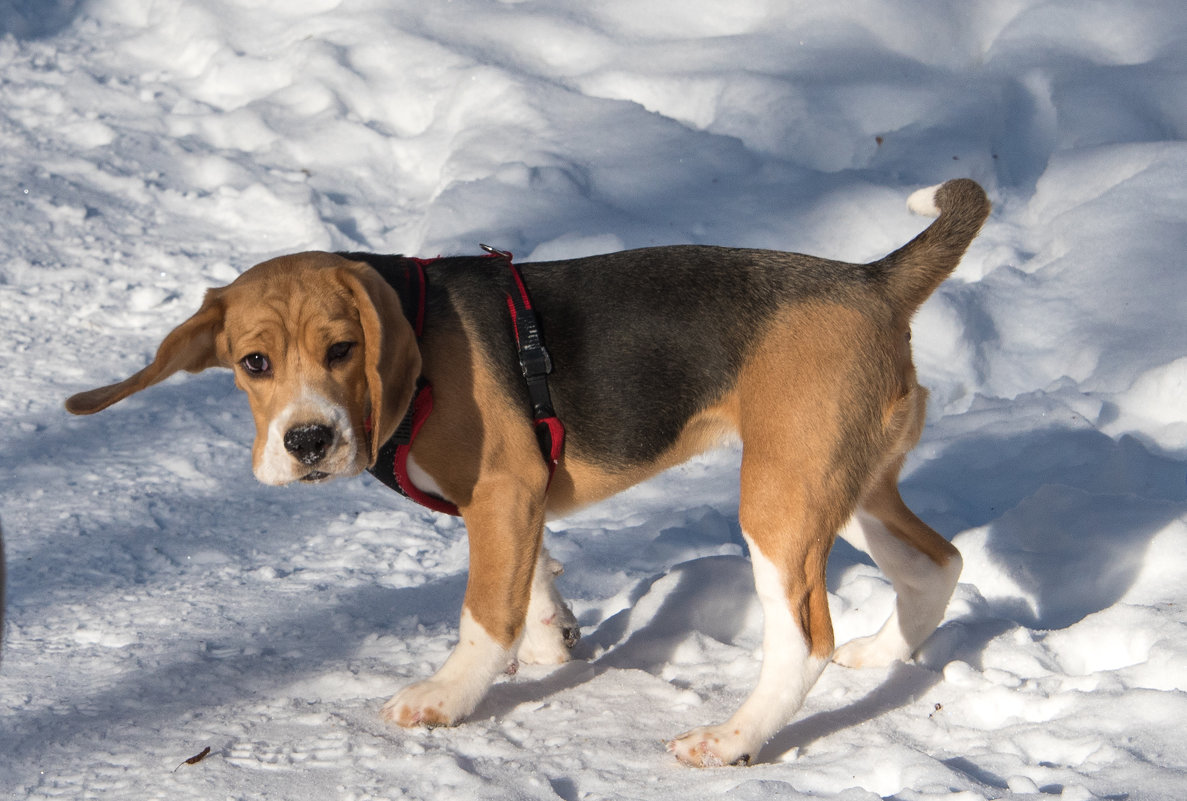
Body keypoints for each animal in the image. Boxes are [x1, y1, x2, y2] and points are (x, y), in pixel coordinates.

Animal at [64, 179, 992, 768]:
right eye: (253, 362)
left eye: (342, 349)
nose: (308, 440)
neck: (418, 338)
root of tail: (870, 280)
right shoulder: (522, 501)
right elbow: (530, 581)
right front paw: (552, 638)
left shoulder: (501, 491)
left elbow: (483, 613)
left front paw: (444, 697)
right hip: (848, 482)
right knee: (935, 563)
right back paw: (880, 656)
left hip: (779, 498)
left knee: (803, 639)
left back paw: (733, 739)